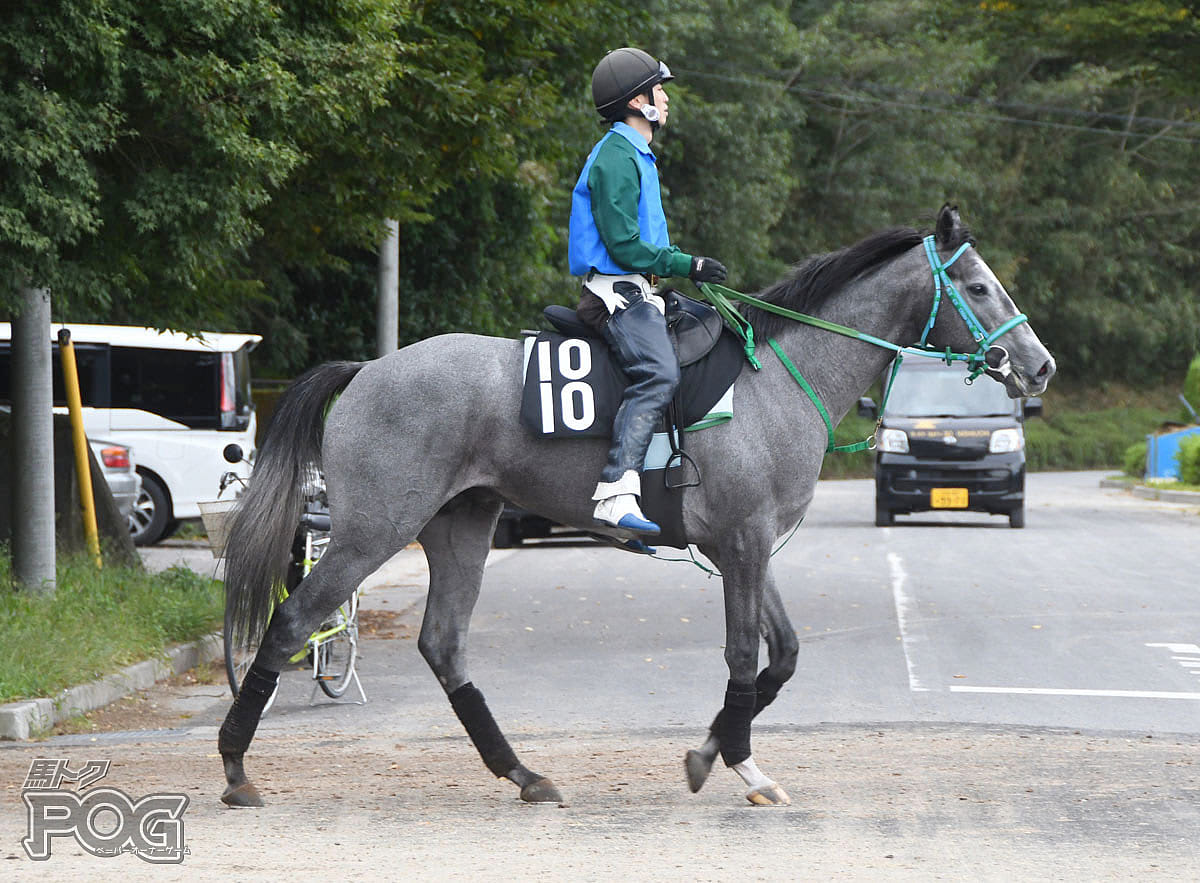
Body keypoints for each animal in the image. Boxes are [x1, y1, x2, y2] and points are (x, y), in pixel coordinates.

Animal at [220, 205, 1056, 806]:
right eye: (978, 287)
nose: (1039, 364)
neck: (776, 378)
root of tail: (366, 369)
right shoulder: (744, 543)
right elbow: (744, 657)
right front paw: (739, 763)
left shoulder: (743, 546)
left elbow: (782, 656)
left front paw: (709, 752)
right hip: (372, 531)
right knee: (293, 621)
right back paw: (234, 767)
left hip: (463, 525)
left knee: (444, 645)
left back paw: (524, 773)